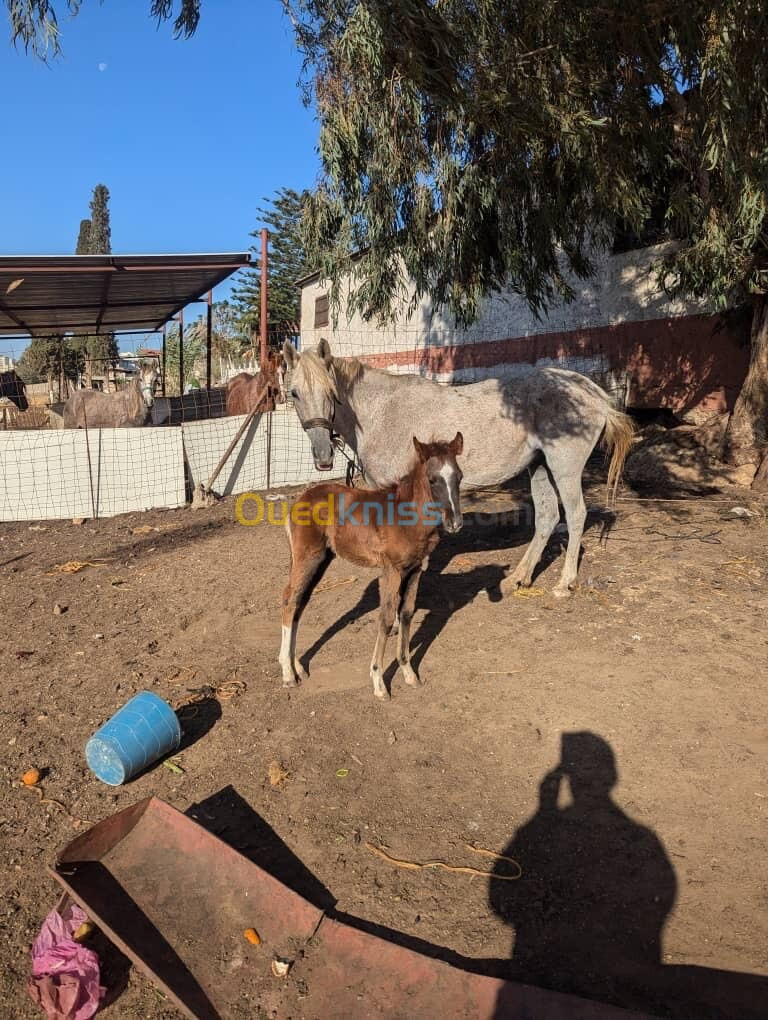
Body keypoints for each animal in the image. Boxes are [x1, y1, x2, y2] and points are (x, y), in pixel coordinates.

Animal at [279, 340, 628, 595]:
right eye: (294, 393)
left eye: (331, 393)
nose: (323, 456)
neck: (381, 412)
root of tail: (592, 392)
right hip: (540, 467)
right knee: (547, 518)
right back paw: (518, 578)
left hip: (564, 468)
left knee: (576, 515)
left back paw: (564, 584)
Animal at [279, 430, 465, 701]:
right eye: (432, 480)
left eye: (459, 477)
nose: (456, 523)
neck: (409, 518)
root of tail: (300, 499)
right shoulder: (391, 571)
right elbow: (386, 619)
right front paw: (378, 682)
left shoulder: (415, 571)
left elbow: (406, 614)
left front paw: (409, 673)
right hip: (307, 558)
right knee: (290, 599)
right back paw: (287, 674)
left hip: (321, 560)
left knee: (300, 602)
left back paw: (298, 667)